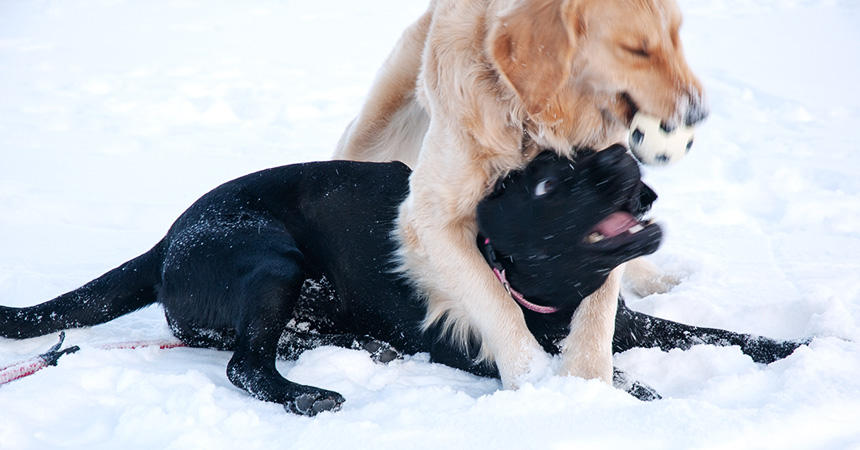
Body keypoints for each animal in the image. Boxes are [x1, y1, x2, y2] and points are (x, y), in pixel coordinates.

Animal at [0, 145, 800, 414]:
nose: (621, 152)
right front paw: (641, 402)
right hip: (271, 257)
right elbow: (605, 377)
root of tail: (168, 238)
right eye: (550, 184)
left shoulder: (630, 322)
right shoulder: (500, 348)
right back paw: (306, 396)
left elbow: (722, 334)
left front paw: (799, 350)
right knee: (243, 364)